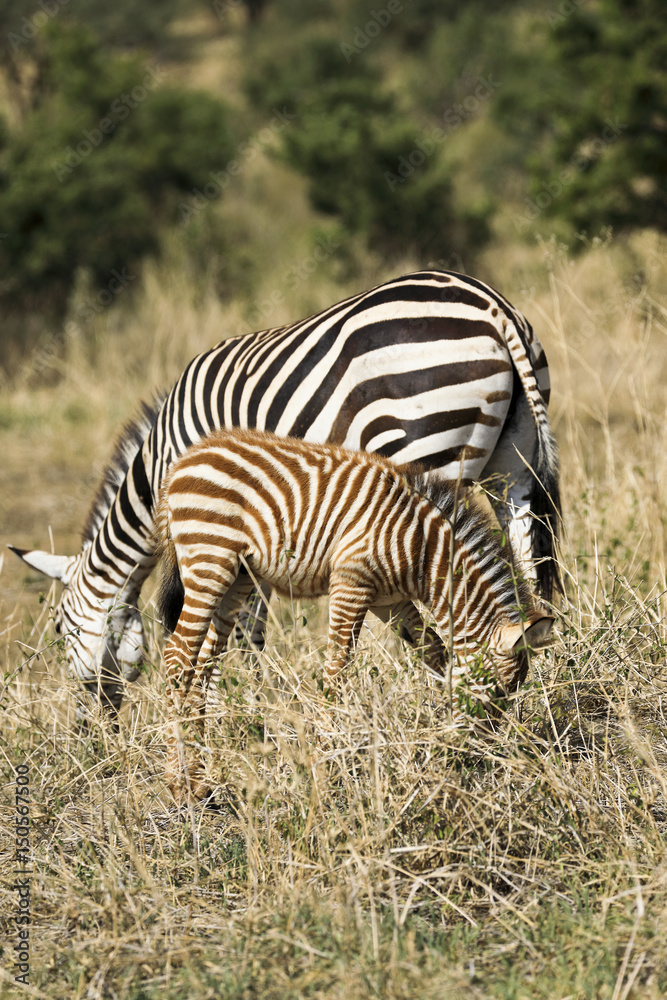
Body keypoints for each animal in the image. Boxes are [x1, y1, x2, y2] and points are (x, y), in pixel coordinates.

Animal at [8, 270, 560, 719]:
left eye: (59, 630)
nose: (92, 727)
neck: (160, 462)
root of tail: (492, 307)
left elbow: (235, 624)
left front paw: (234, 702)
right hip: (513, 467)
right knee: (528, 564)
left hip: (424, 446)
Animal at [155, 428, 554, 803]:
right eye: (498, 690)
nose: (480, 753)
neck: (423, 552)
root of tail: (185, 460)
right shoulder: (352, 582)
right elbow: (337, 672)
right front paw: (326, 770)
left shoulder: (390, 601)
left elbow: (435, 654)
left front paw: (438, 738)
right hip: (211, 560)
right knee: (177, 656)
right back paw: (181, 786)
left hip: (238, 577)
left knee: (203, 662)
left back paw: (199, 777)